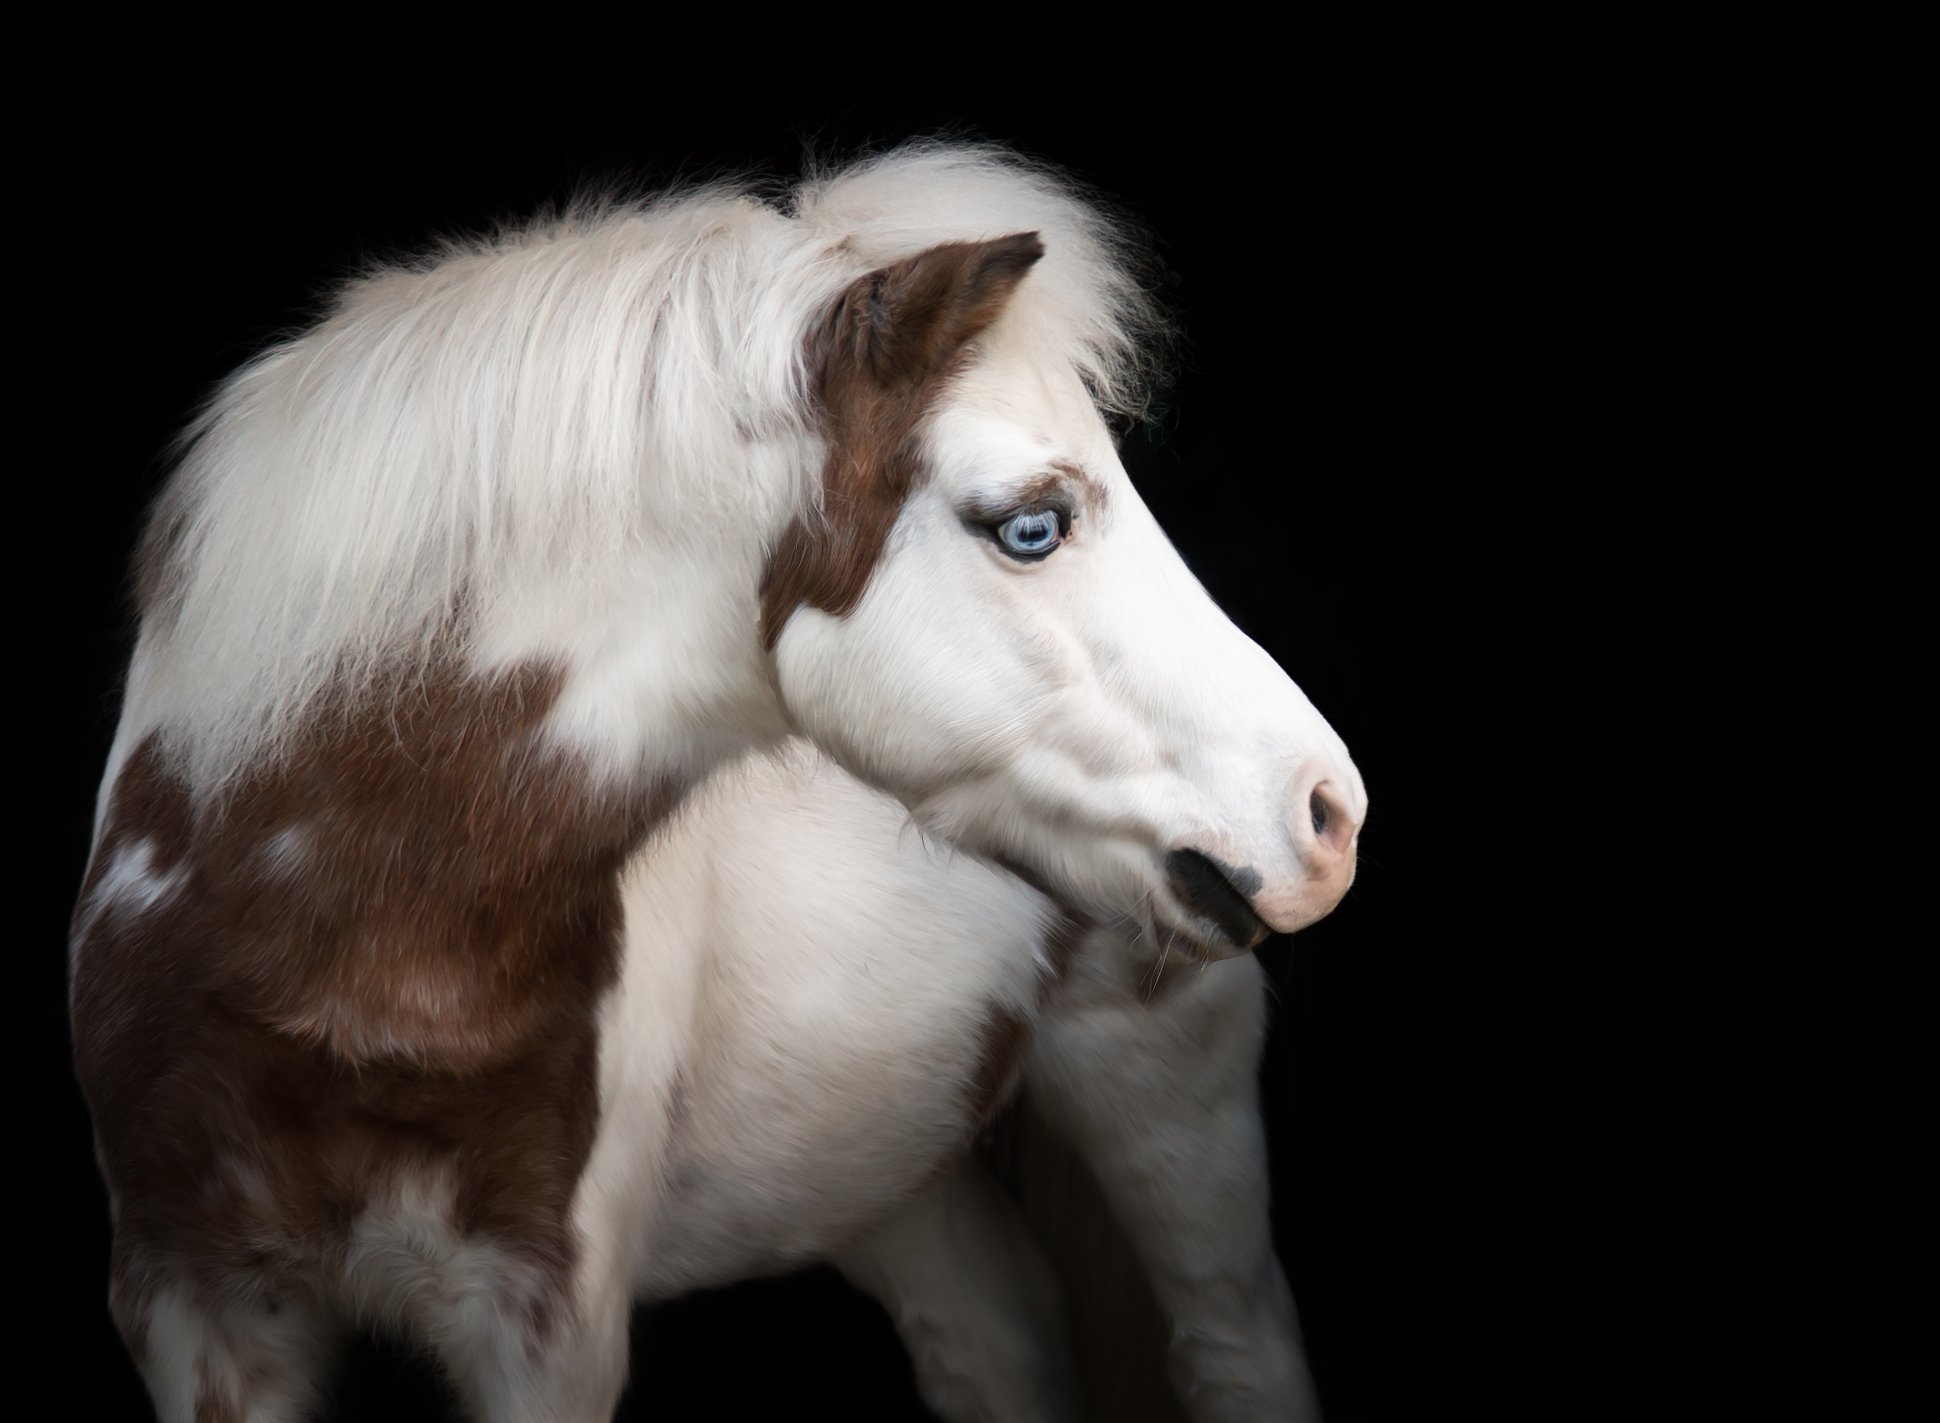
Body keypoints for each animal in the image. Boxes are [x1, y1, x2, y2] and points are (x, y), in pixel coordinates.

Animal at [70, 141, 1364, 1422]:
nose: (1326, 811)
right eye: (1030, 526)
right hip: (884, 1167)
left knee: (1230, 1342)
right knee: (996, 1341)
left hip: (1167, 1087)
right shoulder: (195, 1305)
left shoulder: (545, 1322)